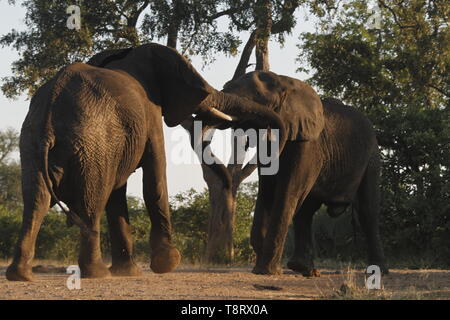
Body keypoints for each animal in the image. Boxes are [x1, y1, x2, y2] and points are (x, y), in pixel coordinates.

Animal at [5, 43, 286, 282]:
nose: (227, 182)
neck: (129, 53)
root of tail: (51, 111)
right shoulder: (150, 113)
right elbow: (155, 178)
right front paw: (167, 263)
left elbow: (119, 196)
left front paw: (127, 272)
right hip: (90, 145)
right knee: (91, 203)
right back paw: (97, 273)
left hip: (35, 144)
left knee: (36, 202)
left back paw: (21, 275)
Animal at [220, 70, 388, 276]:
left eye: (258, 97)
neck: (285, 82)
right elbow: (268, 190)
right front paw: (261, 270)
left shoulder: (308, 144)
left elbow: (287, 192)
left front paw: (266, 271)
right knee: (306, 211)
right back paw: (304, 269)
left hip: (372, 157)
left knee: (367, 210)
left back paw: (378, 271)